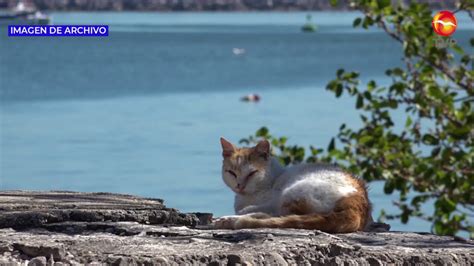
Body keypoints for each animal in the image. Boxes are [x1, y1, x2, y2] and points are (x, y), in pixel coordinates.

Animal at [213, 137, 372, 233]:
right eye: (232, 173)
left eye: (252, 173)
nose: (239, 185)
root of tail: (359, 202)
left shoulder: (273, 200)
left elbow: (260, 208)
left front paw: (241, 212)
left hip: (293, 193)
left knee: (282, 215)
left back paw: (230, 219)